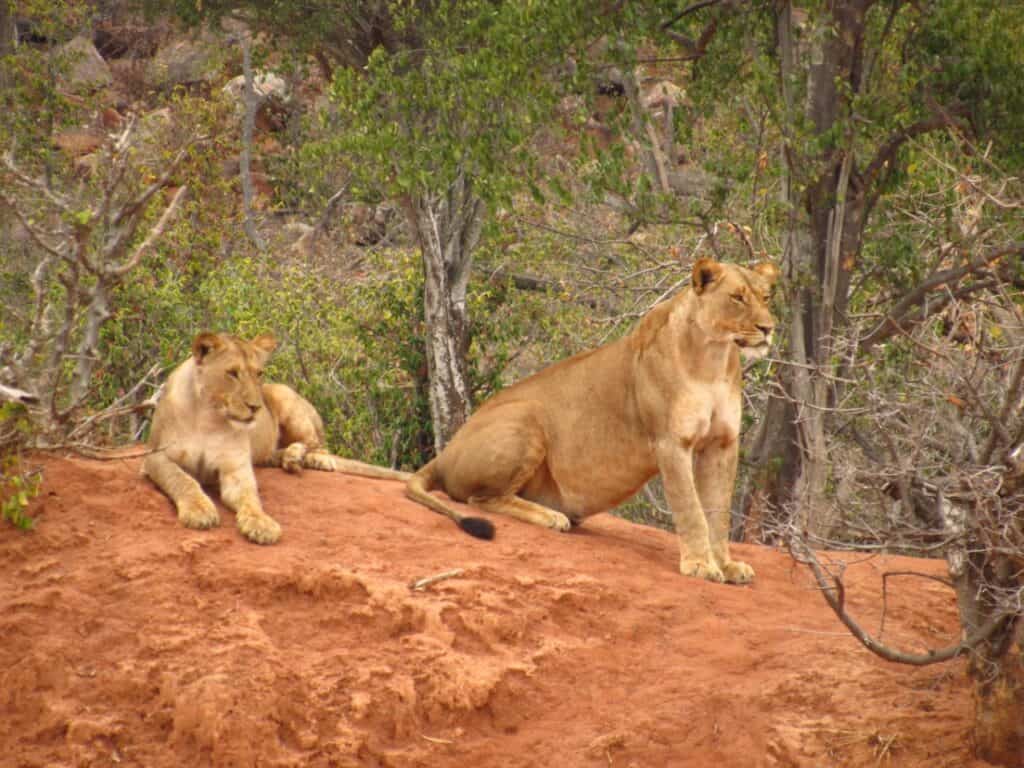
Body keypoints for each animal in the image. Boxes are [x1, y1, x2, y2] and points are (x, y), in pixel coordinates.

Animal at [143, 332, 408, 544]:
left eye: (258, 373)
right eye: (232, 373)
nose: (255, 407)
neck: (208, 417)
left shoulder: (236, 468)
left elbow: (250, 497)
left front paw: (261, 524)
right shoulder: (154, 457)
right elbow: (181, 479)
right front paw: (199, 511)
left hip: (285, 396)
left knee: (318, 445)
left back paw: (311, 459)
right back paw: (289, 458)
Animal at [406, 258, 779, 583]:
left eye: (766, 298)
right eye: (737, 298)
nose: (768, 328)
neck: (713, 359)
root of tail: (445, 453)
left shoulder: (722, 444)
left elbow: (719, 512)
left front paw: (727, 566)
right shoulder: (670, 442)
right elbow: (692, 510)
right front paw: (700, 565)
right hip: (527, 415)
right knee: (480, 499)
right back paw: (551, 517)